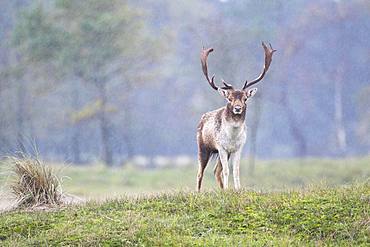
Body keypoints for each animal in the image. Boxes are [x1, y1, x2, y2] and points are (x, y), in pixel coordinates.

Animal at [197, 42, 274, 191]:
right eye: (230, 98)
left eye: (245, 98)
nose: (237, 108)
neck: (232, 138)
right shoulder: (221, 146)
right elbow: (227, 170)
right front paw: (229, 189)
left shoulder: (239, 147)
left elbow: (236, 170)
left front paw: (237, 189)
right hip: (203, 147)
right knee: (200, 172)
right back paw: (199, 192)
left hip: (224, 153)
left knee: (216, 170)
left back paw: (222, 189)